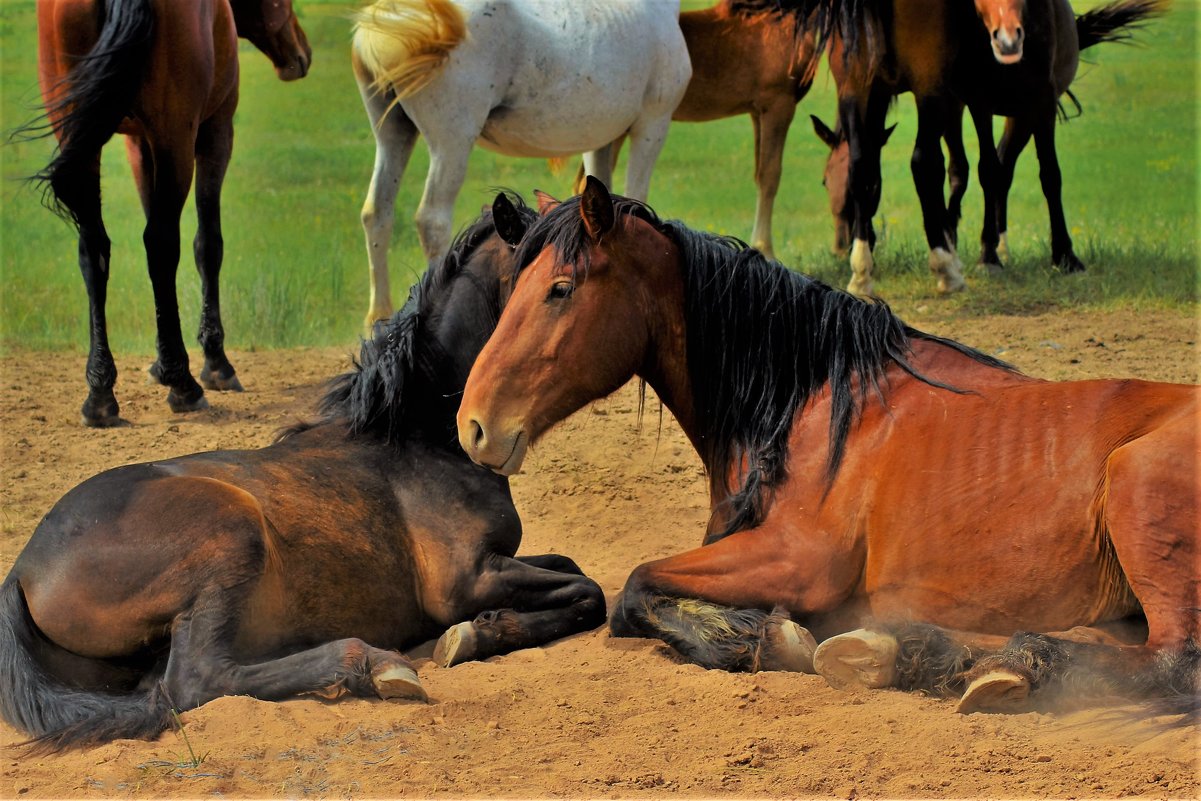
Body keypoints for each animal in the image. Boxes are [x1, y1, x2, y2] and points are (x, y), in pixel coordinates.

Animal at [0, 195, 600, 754]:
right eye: (554, 284)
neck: (418, 435)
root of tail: (23, 571)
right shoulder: (467, 579)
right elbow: (588, 591)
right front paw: (476, 634)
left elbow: (574, 570)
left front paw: (488, 628)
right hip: (231, 530)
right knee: (197, 680)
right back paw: (374, 665)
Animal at [33, 1, 314, 425]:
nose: (302, 53)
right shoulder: (215, 131)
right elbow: (207, 245)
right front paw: (214, 362)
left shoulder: (138, 143)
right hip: (177, 137)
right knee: (162, 245)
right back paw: (183, 383)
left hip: (83, 140)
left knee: (94, 251)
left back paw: (100, 393)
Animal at [350, 0, 691, 326]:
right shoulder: (652, 125)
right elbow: (635, 195)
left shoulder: (601, 142)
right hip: (452, 143)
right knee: (432, 220)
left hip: (393, 134)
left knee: (376, 213)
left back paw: (378, 316)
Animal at [456, 178, 1201, 715]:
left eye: (560, 290)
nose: (473, 425)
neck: (808, 398)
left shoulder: (795, 559)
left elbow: (634, 588)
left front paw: (754, 636)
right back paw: (919, 653)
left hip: (1137, 493)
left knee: (1172, 659)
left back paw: (999, 667)